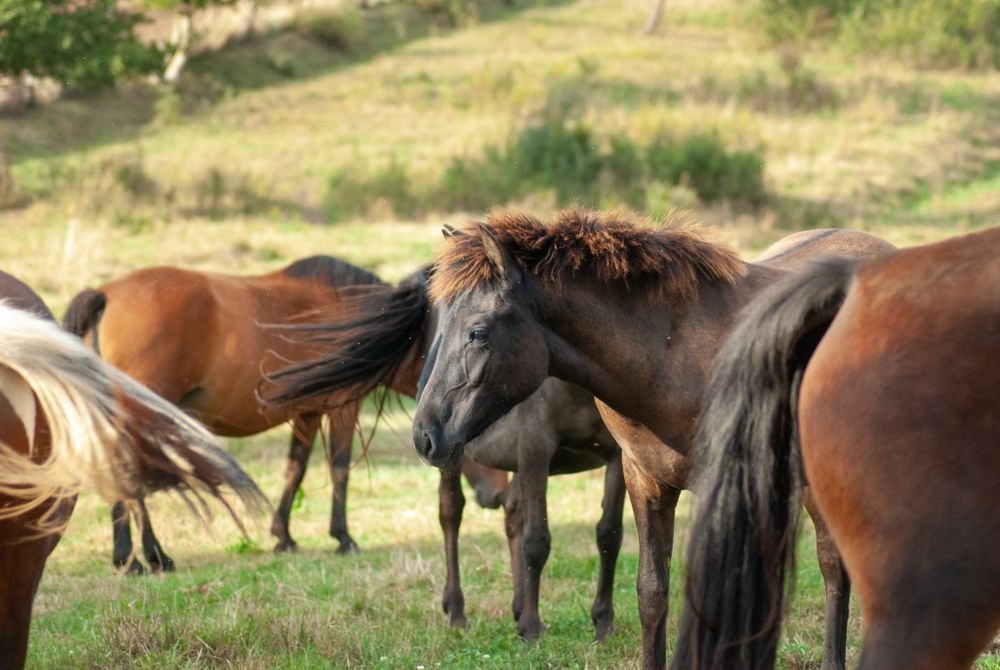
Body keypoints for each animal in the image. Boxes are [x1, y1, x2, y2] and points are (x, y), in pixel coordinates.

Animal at [61, 258, 414, 572]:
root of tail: (105, 294)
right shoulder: (343, 408)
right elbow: (339, 469)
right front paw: (343, 537)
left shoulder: (307, 413)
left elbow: (295, 469)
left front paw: (283, 536)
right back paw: (148, 557)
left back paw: (131, 557)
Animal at [264, 270, 624, 644]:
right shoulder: (535, 452)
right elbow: (536, 539)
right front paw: (531, 627)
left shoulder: (618, 458)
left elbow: (608, 534)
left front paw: (602, 622)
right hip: (451, 454)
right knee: (452, 513)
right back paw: (457, 611)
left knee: (512, 515)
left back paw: (517, 603)